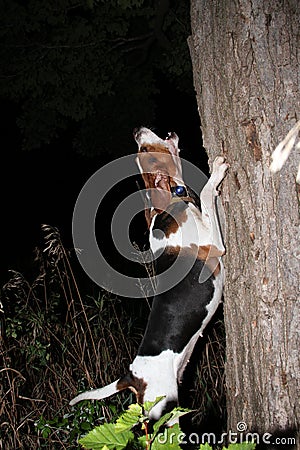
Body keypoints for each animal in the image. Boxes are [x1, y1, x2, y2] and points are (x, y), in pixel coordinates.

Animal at [70, 127, 229, 422]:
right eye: (145, 151)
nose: (136, 131)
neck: (167, 204)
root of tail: (131, 376)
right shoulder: (214, 245)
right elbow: (205, 194)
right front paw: (216, 172)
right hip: (165, 408)